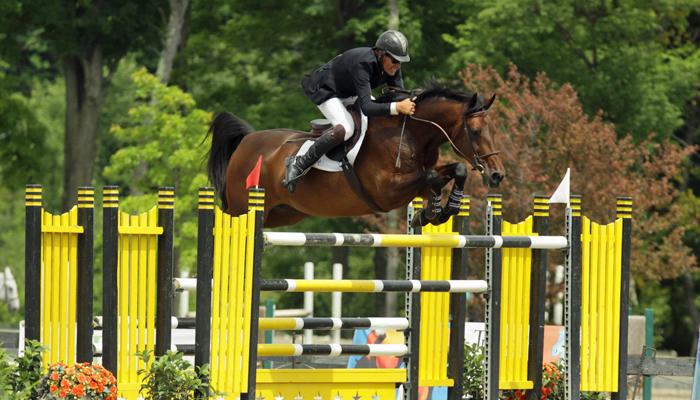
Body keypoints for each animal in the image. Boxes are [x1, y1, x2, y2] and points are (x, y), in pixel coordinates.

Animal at [206, 85, 505, 228]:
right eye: (475, 131)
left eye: (494, 129)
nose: (497, 174)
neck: (410, 134)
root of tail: (247, 141)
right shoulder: (387, 192)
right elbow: (432, 176)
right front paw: (431, 211)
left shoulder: (418, 180)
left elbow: (454, 171)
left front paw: (442, 210)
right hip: (242, 208)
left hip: (284, 214)